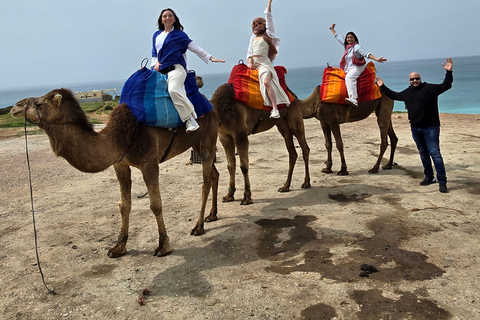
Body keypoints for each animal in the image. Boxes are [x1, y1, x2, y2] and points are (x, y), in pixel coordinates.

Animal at [11, 89, 219, 258]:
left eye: (39, 104)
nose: (16, 106)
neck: (120, 137)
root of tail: (211, 107)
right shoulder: (120, 164)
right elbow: (123, 205)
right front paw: (119, 246)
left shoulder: (149, 164)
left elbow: (155, 205)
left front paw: (163, 245)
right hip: (195, 143)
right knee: (214, 175)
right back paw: (212, 215)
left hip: (208, 139)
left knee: (205, 182)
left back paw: (198, 226)